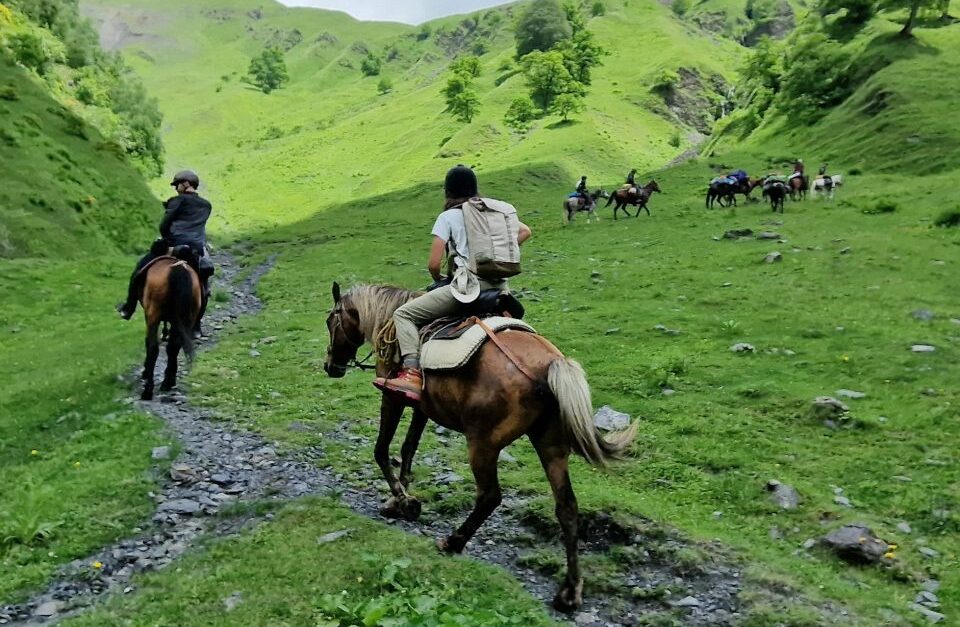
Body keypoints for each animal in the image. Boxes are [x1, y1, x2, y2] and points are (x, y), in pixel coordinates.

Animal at [139, 258, 201, 400]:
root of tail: (179, 270)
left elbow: (149, 344)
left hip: (153, 314)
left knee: (153, 347)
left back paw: (148, 390)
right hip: (187, 317)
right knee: (175, 346)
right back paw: (168, 382)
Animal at [322, 282, 636, 612]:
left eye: (330, 321)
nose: (331, 367)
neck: (391, 320)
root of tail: (550, 365)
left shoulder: (393, 398)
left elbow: (382, 450)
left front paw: (404, 501)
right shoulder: (422, 406)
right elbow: (408, 449)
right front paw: (399, 501)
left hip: (483, 443)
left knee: (489, 496)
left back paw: (453, 542)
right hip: (550, 445)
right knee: (567, 507)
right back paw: (570, 591)